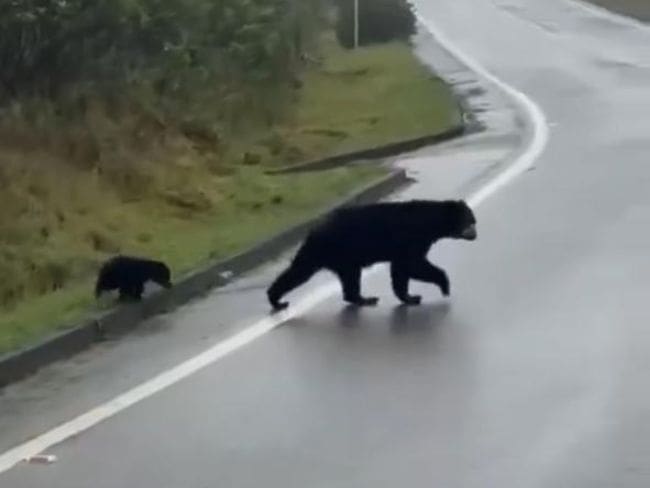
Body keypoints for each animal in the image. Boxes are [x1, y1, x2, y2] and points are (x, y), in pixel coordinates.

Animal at [266, 199, 477, 311]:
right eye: (470, 221)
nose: (475, 234)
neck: (430, 222)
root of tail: (313, 229)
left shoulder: (407, 245)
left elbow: (401, 271)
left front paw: (410, 297)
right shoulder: (411, 238)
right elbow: (413, 264)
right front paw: (443, 285)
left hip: (343, 258)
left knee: (349, 278)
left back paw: (363, 298)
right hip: (330, 249)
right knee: (300, 270)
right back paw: (277, 300)